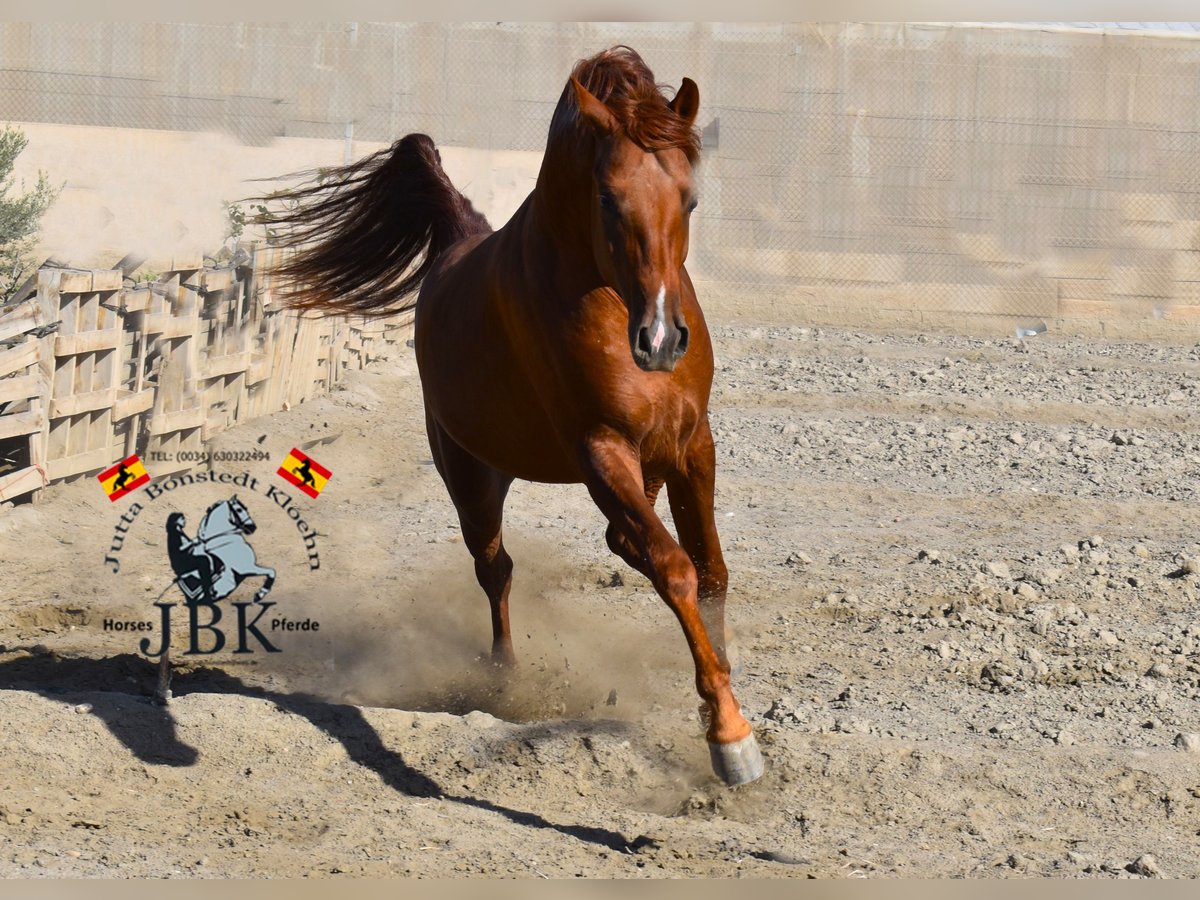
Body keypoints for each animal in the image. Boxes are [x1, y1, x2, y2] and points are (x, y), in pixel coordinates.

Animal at [267, 45, 763, 787]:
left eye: (690, 198)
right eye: (607, 197)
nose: (660, 340)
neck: (601, 295)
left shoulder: (690, 445)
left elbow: (709, 571)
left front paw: (722, 695)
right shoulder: (601, 451)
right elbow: (674, 568)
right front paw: (730, 740)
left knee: (616, 544)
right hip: (474, 479)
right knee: (497, 570)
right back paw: (504, 679)